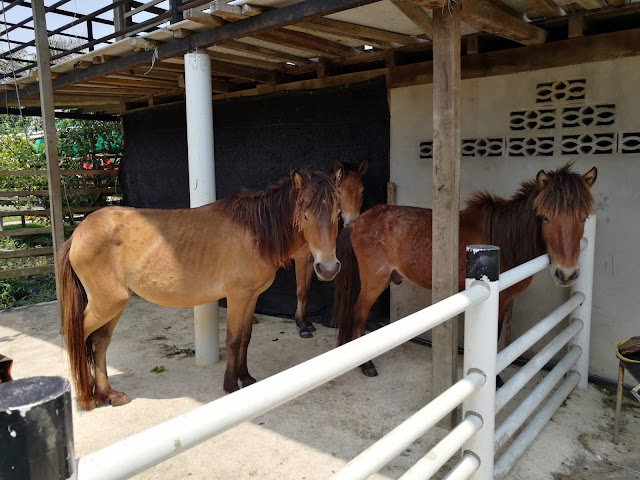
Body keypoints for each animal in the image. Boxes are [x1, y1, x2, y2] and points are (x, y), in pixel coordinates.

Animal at [60, 169, 344, 408]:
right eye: (304, 214)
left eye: (337, 215)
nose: (328, 268)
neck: (254, 231)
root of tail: (77, 234)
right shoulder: (237, 297)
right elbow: (233, 340)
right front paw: (231, 385)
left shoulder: (252, 297)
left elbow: (246, 337)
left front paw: (246, 378)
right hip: (106, 303)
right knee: (78, 335)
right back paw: (86, 397)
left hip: (116, 303)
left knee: (99, 342)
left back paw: (108, 394)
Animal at [292, 160, 368, 338]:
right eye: (339, 192)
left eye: (362, 191)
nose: (352, 222)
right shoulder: (301, 259)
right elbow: (301, 290)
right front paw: (302, 326)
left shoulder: (313, 261)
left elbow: (306, 290)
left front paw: (305, 321)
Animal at [332, 163, 596, 376]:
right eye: (546, 217)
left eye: (583, 218)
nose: (566, 273)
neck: (504, 237)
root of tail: (358, 222)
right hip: (374, 282)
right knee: (359, 314)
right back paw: (366, 366)